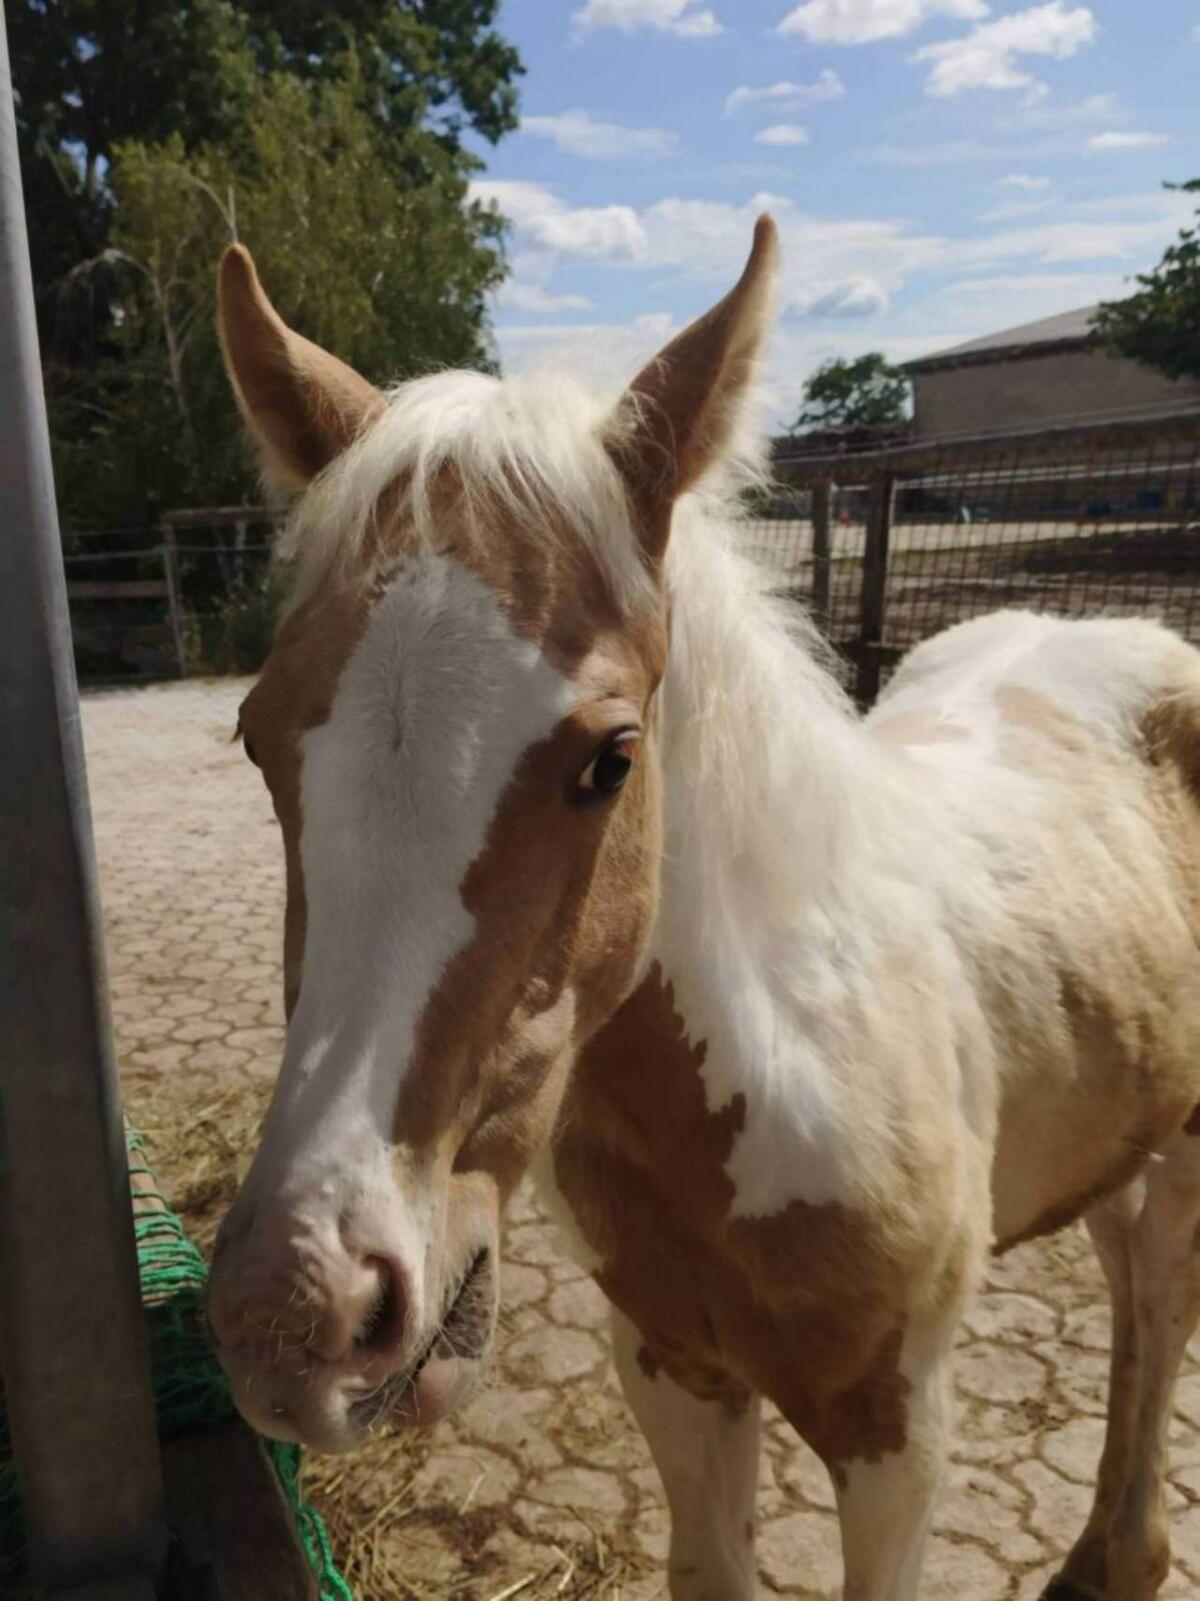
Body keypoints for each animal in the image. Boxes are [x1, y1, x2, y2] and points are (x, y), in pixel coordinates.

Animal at [206, 217, 1200, 1601]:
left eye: (612, 756)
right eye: (256, 736)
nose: (298, 1315)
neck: (790, 1062)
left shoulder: (901, 1433)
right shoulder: (674, 1368)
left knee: (1159, 1299)